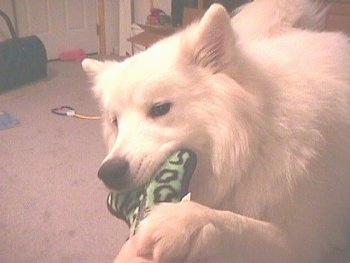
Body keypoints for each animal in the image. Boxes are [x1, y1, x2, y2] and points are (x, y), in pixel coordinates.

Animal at [84, 0, 350, 262]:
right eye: (115, 122)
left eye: (159, 109)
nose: (108, 172)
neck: (256, 143)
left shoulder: (303, 241)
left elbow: (240, 225)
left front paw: (182, 222)